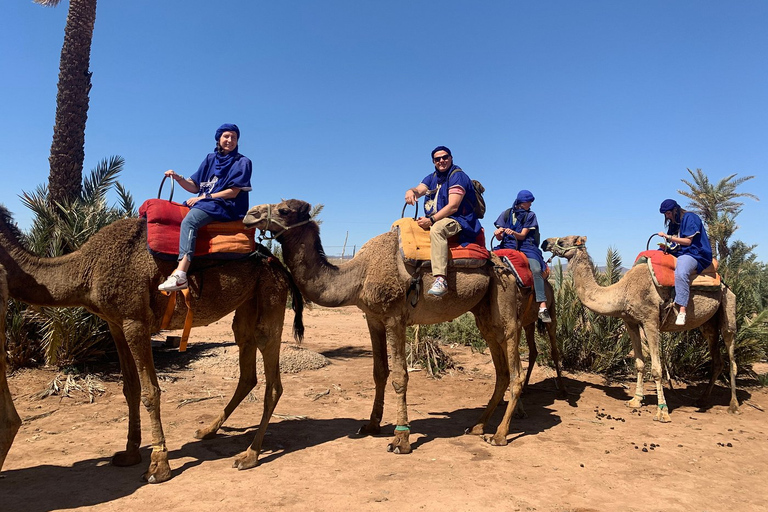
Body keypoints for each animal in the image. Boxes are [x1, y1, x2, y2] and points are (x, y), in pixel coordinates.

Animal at [0, 205, 304, 484]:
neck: (87, 269)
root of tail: (278, 263)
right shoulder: (115, 323)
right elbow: (130, 389)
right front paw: (129, 453)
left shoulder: (135, 321)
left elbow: (150, 392)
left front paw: (158, 465)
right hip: (246, 305)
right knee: (247, 368)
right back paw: (208, 430)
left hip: (271, 295)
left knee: (272, 376)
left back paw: (250, 455)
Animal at [244, 198, 552, 450]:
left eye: (284, 210)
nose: (250, 214)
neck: (359, 274)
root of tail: (507, 264)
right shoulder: (372, 318)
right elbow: (379, 372)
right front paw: (371, 425)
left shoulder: (395, 319)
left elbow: (399, 376)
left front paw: (401, 438)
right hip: (484, 313)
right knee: (501, 370)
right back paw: (477, 426)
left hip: (505, 304)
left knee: (514, 366)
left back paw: (499, 435)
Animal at [540, 236, 736, 420]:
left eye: (563, 240)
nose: (545, 243)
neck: (622, 292)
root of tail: (724, 282)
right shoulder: (631, 322)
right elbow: (640, 364)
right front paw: (636, 400)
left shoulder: (650, 321)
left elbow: (656, 369)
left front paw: (662, 412)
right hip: (708, 323)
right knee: (717, 359)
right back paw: (702, 400)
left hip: (728, 305)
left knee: (730, 351)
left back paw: (733, 406)